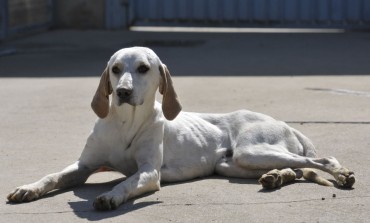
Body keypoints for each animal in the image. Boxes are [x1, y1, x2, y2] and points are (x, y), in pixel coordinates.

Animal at [7, 47, 356, 211]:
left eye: (143, 68)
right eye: (115, 69)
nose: (121, 91)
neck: (124, 122)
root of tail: (284, 123)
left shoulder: (149, 173)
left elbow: (126, 182)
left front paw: (110, 196)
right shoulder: (83, 166)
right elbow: (52, 176)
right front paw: (28, 188)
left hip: (251, 150)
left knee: (320, 161)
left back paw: (342, 174)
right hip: (232, 163)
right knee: (297, 170)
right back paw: (275, 178)